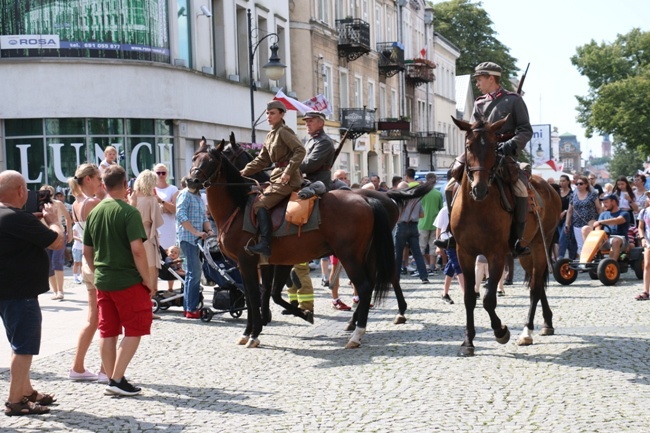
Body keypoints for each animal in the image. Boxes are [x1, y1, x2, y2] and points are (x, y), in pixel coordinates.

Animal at [187, 142, 430, 348]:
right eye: (193, 158)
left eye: (211, 160)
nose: (191, 182)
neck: (239, 207)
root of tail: (369, 199)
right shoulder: (268, 262)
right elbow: (263, 293)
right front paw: (260, 326)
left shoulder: (249, 262)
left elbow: (256, 295)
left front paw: (255, 333)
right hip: (366, 254)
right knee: (376, 281)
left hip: (350, 255)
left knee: (366, 285)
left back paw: (358, 332)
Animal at [448, 115, 560, 354]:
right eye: (468, 146)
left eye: (494, 146)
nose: (479, 188)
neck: (477, 207)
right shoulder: (464, 254)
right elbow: (469, 297)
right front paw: (468, 341)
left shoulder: (496, 255)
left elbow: (489, 299)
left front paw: (501, 331)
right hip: (525, 253)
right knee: (537, 283)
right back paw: (547, 322)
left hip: (539, 245)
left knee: (535, 288)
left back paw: (527, 331)